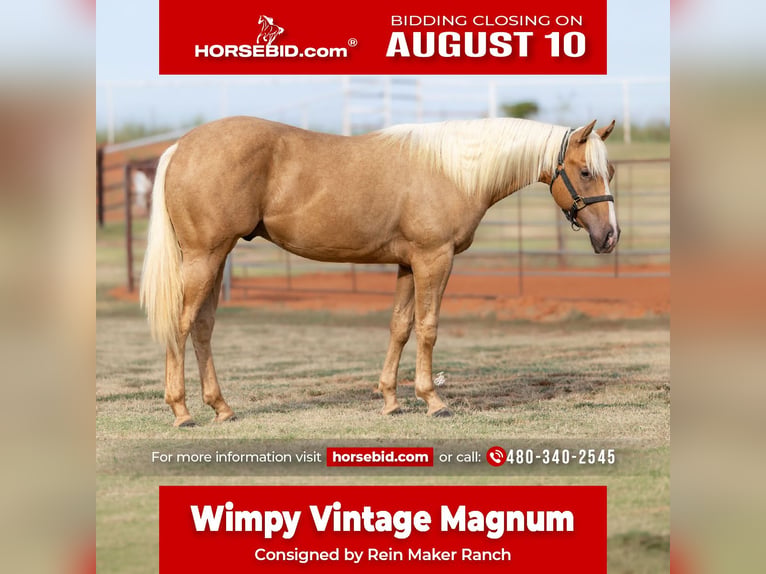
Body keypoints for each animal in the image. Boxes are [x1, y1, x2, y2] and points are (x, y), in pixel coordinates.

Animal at [140, 116, 618, 427]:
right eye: (585, 171)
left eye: (610, 170)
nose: (610, 236)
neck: (454, 169)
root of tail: (180, 147)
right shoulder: (434, 259)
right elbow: (428, 326)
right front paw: (433, 400)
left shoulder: (408, 263)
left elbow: (400, 327)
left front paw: (390, 400)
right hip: (204, 257)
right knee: (181, 326)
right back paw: (182, 411)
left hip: (214, 258)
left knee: (203, 327)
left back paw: (221, 408)